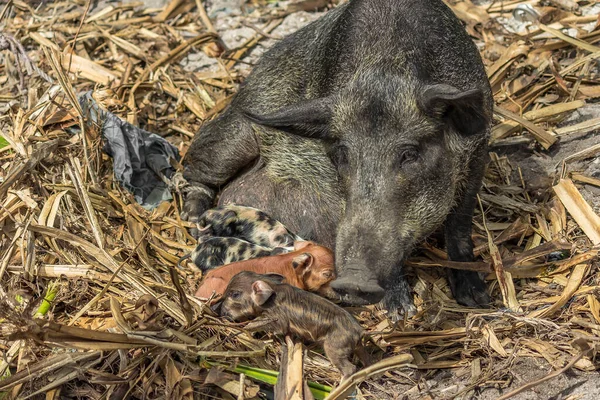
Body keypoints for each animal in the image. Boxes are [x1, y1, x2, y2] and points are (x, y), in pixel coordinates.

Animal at [183, 0, 492, 318]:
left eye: (410, 153)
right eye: (342, 155)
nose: (354, 280)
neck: (387, 66)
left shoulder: (479, 149)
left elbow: (460, 223)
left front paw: (477, 299)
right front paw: (399, 312)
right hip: (233, 138)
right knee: (193, 167)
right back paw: (192, 218)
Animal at [213, 270, 368, 380]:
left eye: (235, 294)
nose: (221, 312)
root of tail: (359, 332)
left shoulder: (275, 319)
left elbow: (255, 324)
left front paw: (244, 329)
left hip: (335, 349)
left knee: (350, 369)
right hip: (357, 349)